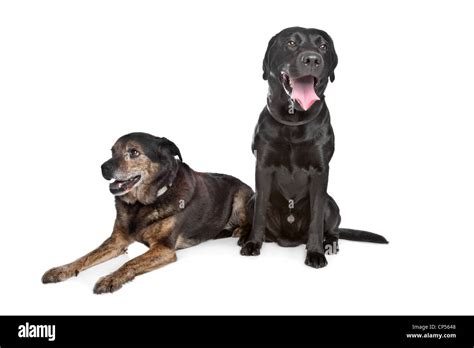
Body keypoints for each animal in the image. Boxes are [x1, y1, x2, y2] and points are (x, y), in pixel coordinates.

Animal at [42, 133, 254, 294]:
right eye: (112, 151)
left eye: (134, 152)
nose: (103, 167)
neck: (140, 205)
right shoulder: (116, 241)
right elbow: (86, 256)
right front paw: (62, 269)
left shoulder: (164, 249)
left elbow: (130, 263)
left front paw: (110, 279)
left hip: (241, 197)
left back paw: (241, 234)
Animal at [241, 27, 388, 268]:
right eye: (290, 43)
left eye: (323, 46)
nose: (312, 59)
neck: (293, 120)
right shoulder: (262, 166)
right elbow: (259, 213)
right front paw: (253, 243)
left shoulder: (320, 171)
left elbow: (317, 219)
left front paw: (316, 253)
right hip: (250, 200)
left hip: (332, 204)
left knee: (333, 229)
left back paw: (330, 244)